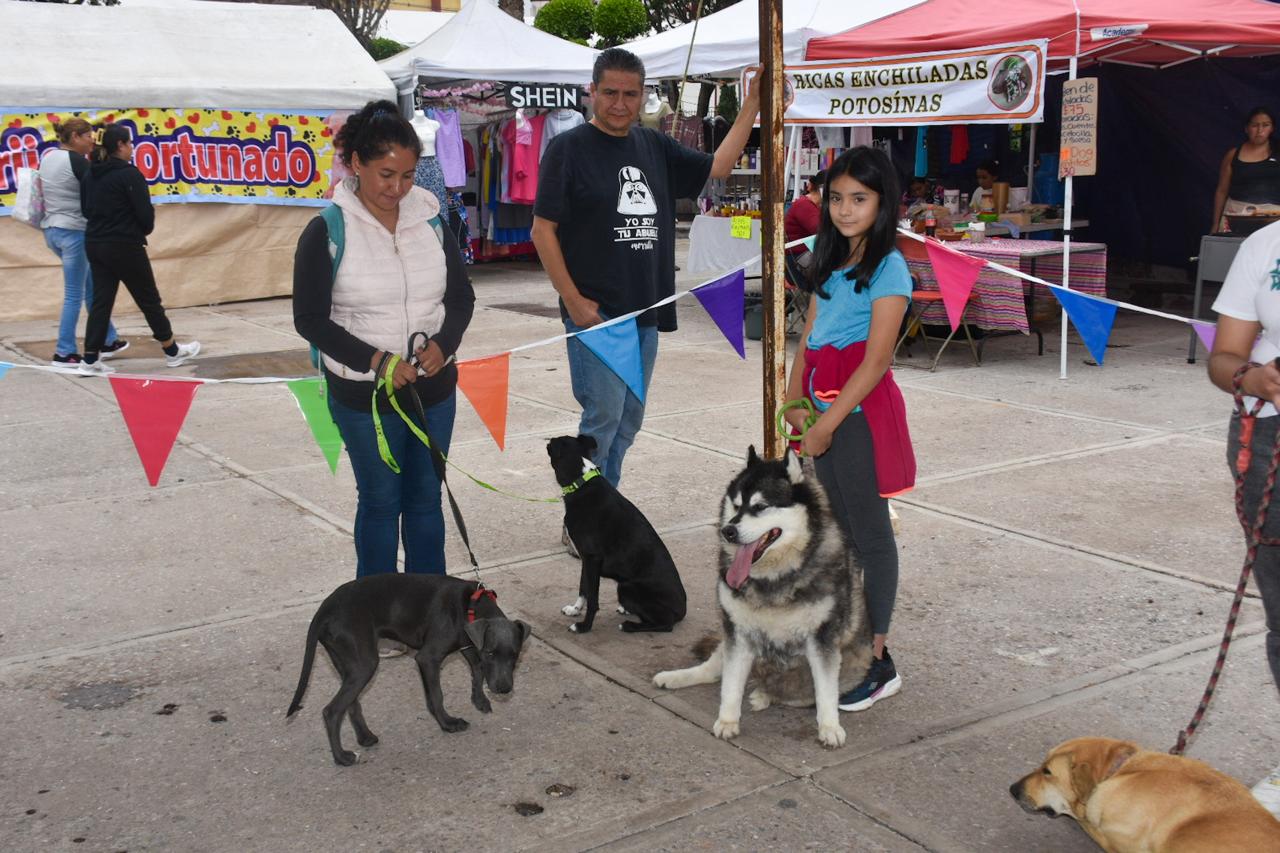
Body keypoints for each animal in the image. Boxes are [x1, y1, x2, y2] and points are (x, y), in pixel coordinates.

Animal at [286, 571, 529, 763]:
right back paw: (342, 758)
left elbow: (477, 671)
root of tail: (324, 609)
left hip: (348, 664)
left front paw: (479, 700)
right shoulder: (428, 658)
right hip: (364, 664)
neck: (469, 605)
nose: (504, 690)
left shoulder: (467, 646)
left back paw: (365, 737)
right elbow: (437, 695)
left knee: (351, 704)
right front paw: (447, 723)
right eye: (490, 653)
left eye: (514, 656)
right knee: (332, 710)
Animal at [550, 435, 691, 627]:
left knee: (665, 624)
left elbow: (592, 599)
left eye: (552, 444)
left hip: (625, 587)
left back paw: (630, 626)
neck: (581, 481)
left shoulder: (592, 558)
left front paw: (584, 627)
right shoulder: (586, 559)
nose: (548, 441)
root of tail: (682, 611)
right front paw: (575, 609)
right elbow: (583, 587)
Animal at [650, 445, 870, 742]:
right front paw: (727, 720)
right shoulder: (738, 633)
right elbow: (730, 684)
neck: (774, 574)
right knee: (713, 670)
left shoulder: (822, 639)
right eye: (735, 505)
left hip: (847, 665)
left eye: (760, 507)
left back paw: (764, 694)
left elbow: (825, 691)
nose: (728, 531)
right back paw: (676, 677)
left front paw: (829, 727)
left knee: (795, 691)